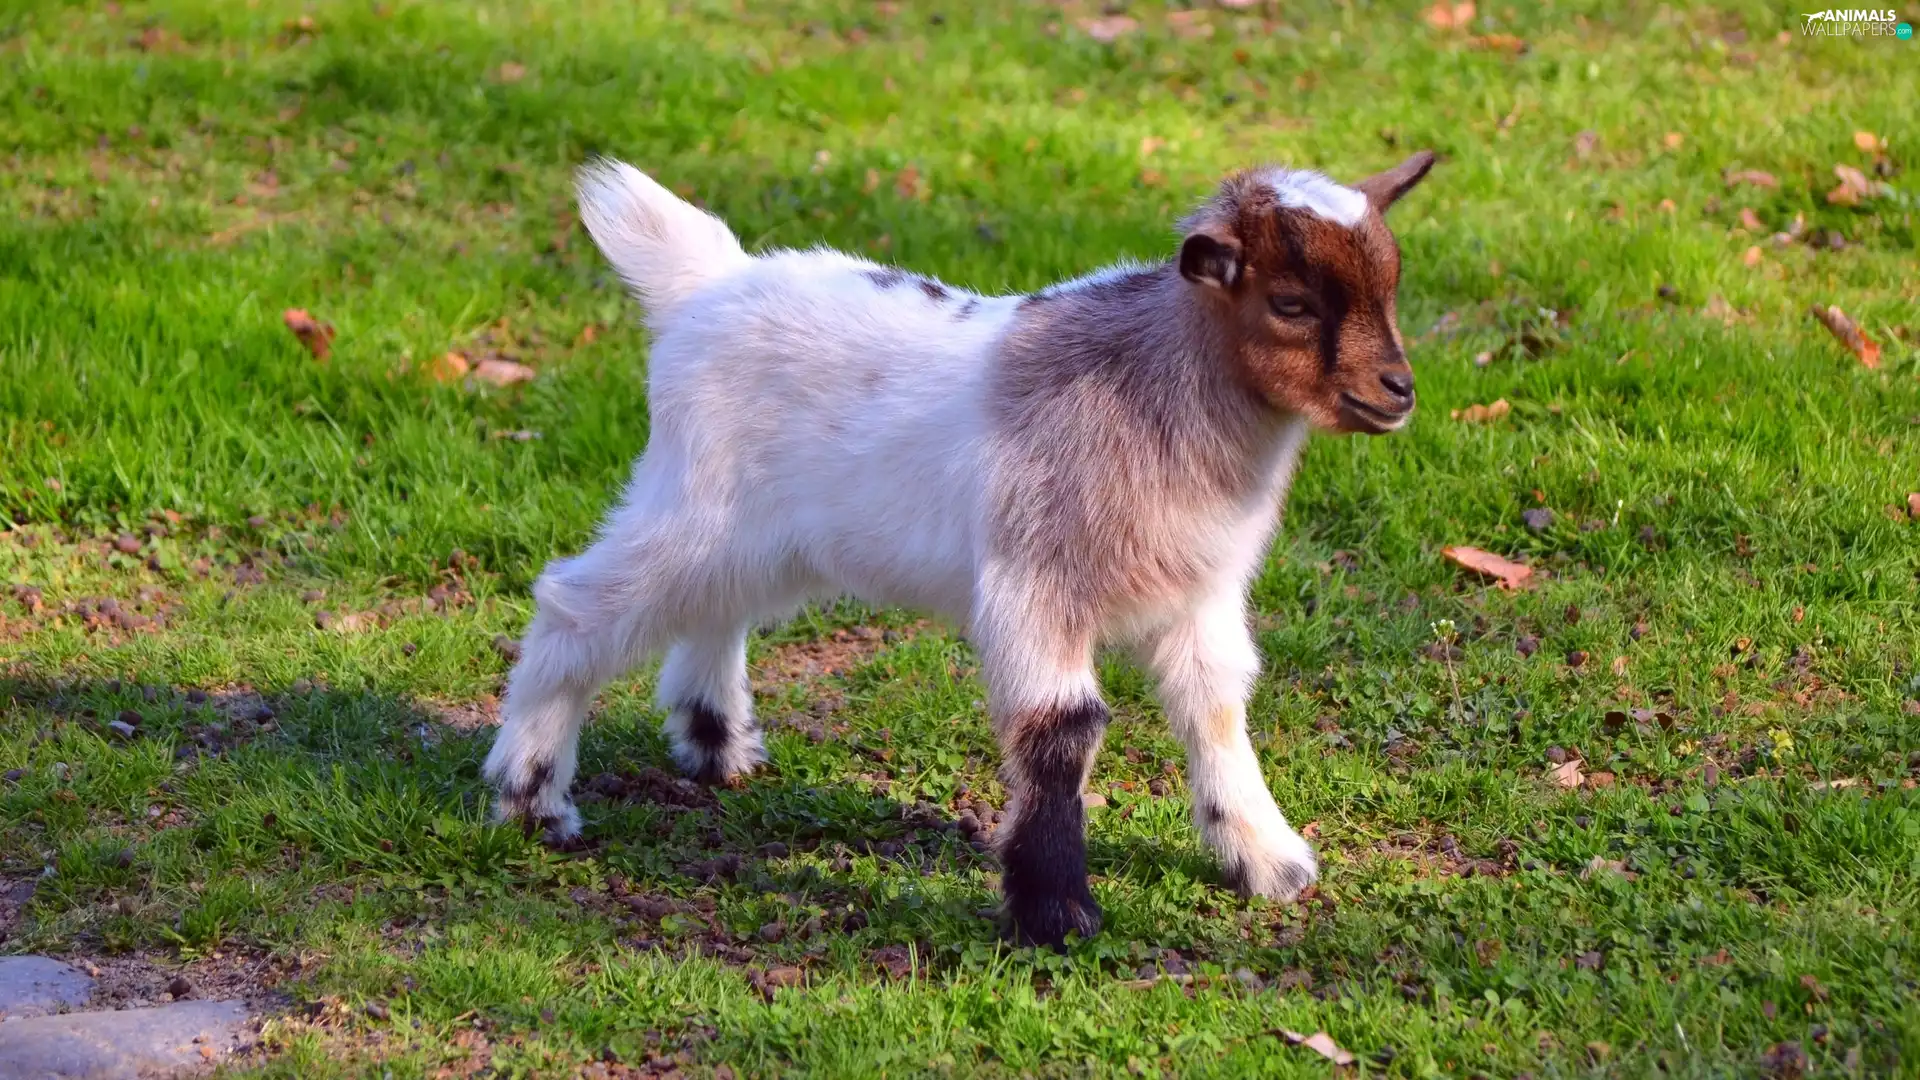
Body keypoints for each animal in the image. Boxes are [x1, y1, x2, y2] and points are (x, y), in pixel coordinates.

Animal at [484, 151, 1436, 946]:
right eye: (1291, 303)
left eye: (1392, 287)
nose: (1398, 391)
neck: (1157, 390)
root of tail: (710, 282)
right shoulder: (1034, 583)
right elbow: (1061, 732)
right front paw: (1056, 916)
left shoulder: (1199, 596)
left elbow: (1217, 709)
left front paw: (1267, 859)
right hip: (695, 507)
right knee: (576, 601)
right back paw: (531, 798)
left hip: (765, 534)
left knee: (716, 612)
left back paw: (719, 748)